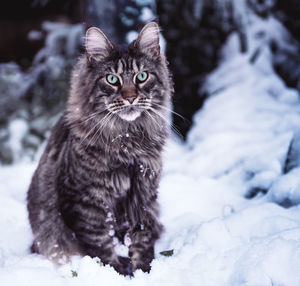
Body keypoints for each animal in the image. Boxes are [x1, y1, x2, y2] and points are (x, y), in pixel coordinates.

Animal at [27, 21, 173, 276]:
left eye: (142, 76)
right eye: (112, 79)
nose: (130, 97)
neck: (127, 139)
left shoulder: (143, 193)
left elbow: (142, 237)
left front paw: (143, 270)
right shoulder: (84, 201)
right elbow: (99, 243)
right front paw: (117, 272)